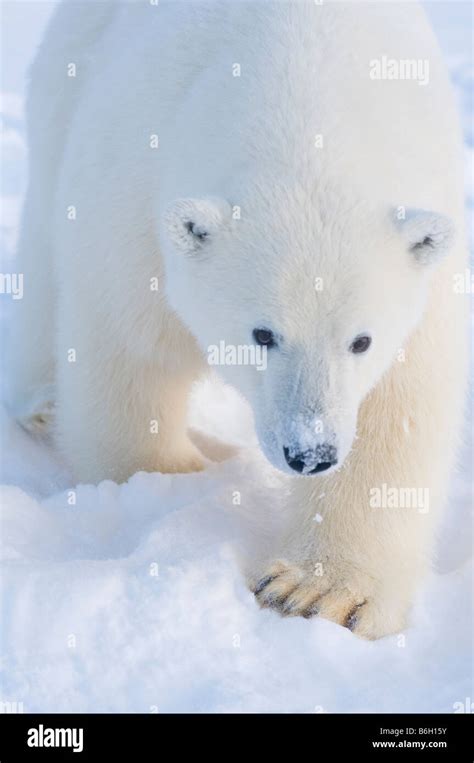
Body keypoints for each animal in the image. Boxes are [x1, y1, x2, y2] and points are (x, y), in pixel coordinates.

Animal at [9, 1, 468, 640]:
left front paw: (315, 593)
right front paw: (171, 476)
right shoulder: (134, 192)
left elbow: (397, 407)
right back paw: (46, 405)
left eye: (361, 340)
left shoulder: (426, 261)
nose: (310, 453)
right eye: (263, 333)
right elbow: (128, 347)